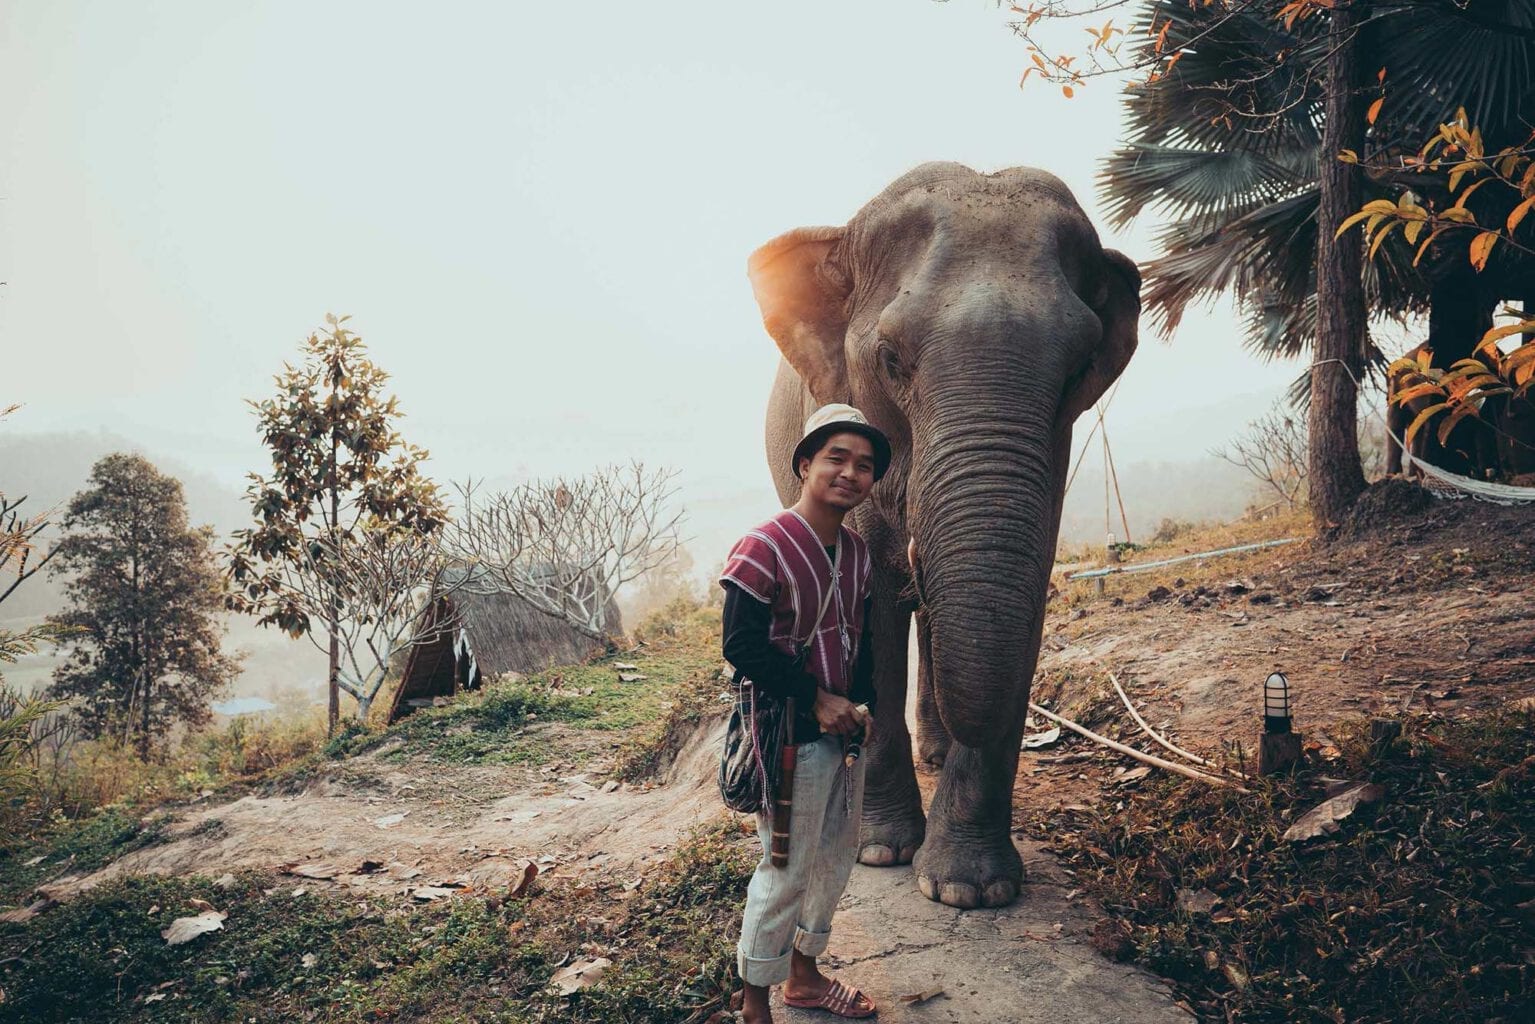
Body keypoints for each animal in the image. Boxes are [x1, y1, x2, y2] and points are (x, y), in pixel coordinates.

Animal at [742, 164, 1142, 908]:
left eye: (1079, 369)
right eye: (891, 358)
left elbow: (1023, 595)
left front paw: (969, 891)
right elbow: (871, 607)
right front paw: (880, 852)